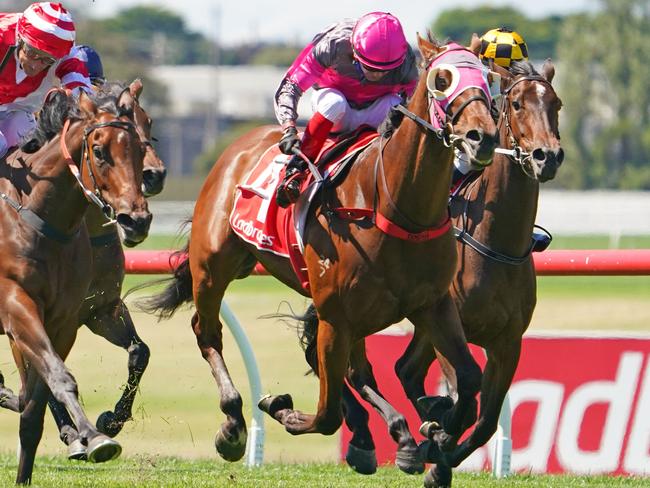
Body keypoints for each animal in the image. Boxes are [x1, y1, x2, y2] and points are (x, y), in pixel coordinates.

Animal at [0, 88, 149, 484]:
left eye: (140, 147)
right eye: (99, 151)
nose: (137, 219)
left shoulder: (74, 317)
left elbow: (39, 398)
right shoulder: (16, 305)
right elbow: (57, 376)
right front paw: (93, 437)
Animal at [143, 33, 496, 466]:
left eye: (487, 78)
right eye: (442, 80)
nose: (483, 138)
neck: (394, 206)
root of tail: (236, 147)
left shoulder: (433, 304)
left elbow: (469, 377)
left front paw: (440, 433)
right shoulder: (334, 317)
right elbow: (326, 414)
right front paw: (281, 407)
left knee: (360, 372)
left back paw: (398, 437)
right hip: (211, 268)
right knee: (207, 332)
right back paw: (233, 423)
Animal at [330, 56, 560, 484]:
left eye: (556, 104)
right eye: (516, 104)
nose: (547, 156)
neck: (496, 242)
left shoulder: (508, 341)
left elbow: (484, 421)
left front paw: (438, 455)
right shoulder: (447, 326)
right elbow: (464, 403)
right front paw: (435, 438)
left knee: (401, 370)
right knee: (358, 367)